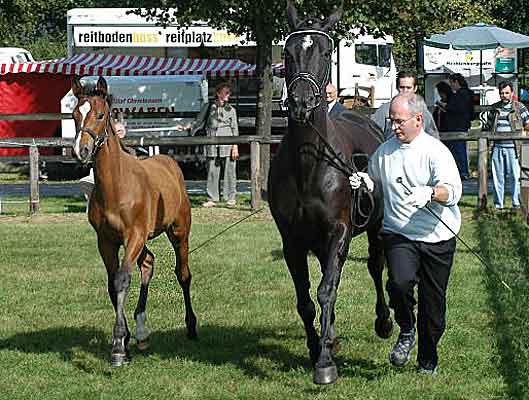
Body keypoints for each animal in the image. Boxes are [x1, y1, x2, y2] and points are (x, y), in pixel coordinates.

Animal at [71, 76, 196, 368]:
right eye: (74, 115)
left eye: (100, 114)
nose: (81, 150)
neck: (117, 186)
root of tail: (170, 163)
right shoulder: (106, 241)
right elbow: (112, 283)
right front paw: (125, 342)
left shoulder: (134, 235)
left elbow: (122, 280)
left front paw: (118, 346)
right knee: (148, 262)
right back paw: (141, 333)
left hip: (178, 232)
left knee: (183, 274)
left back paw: (191, 326)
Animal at [268, 2, 392, 384]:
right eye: (288, 53)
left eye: (325, 52)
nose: (302, 102)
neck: (310, 162)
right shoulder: (292, 240)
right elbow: (307, 299)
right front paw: (317, 347)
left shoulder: (339, 231)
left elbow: (326, 291)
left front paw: (324, 363)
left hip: (374, 231)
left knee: (375, 267)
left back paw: (384, 322)